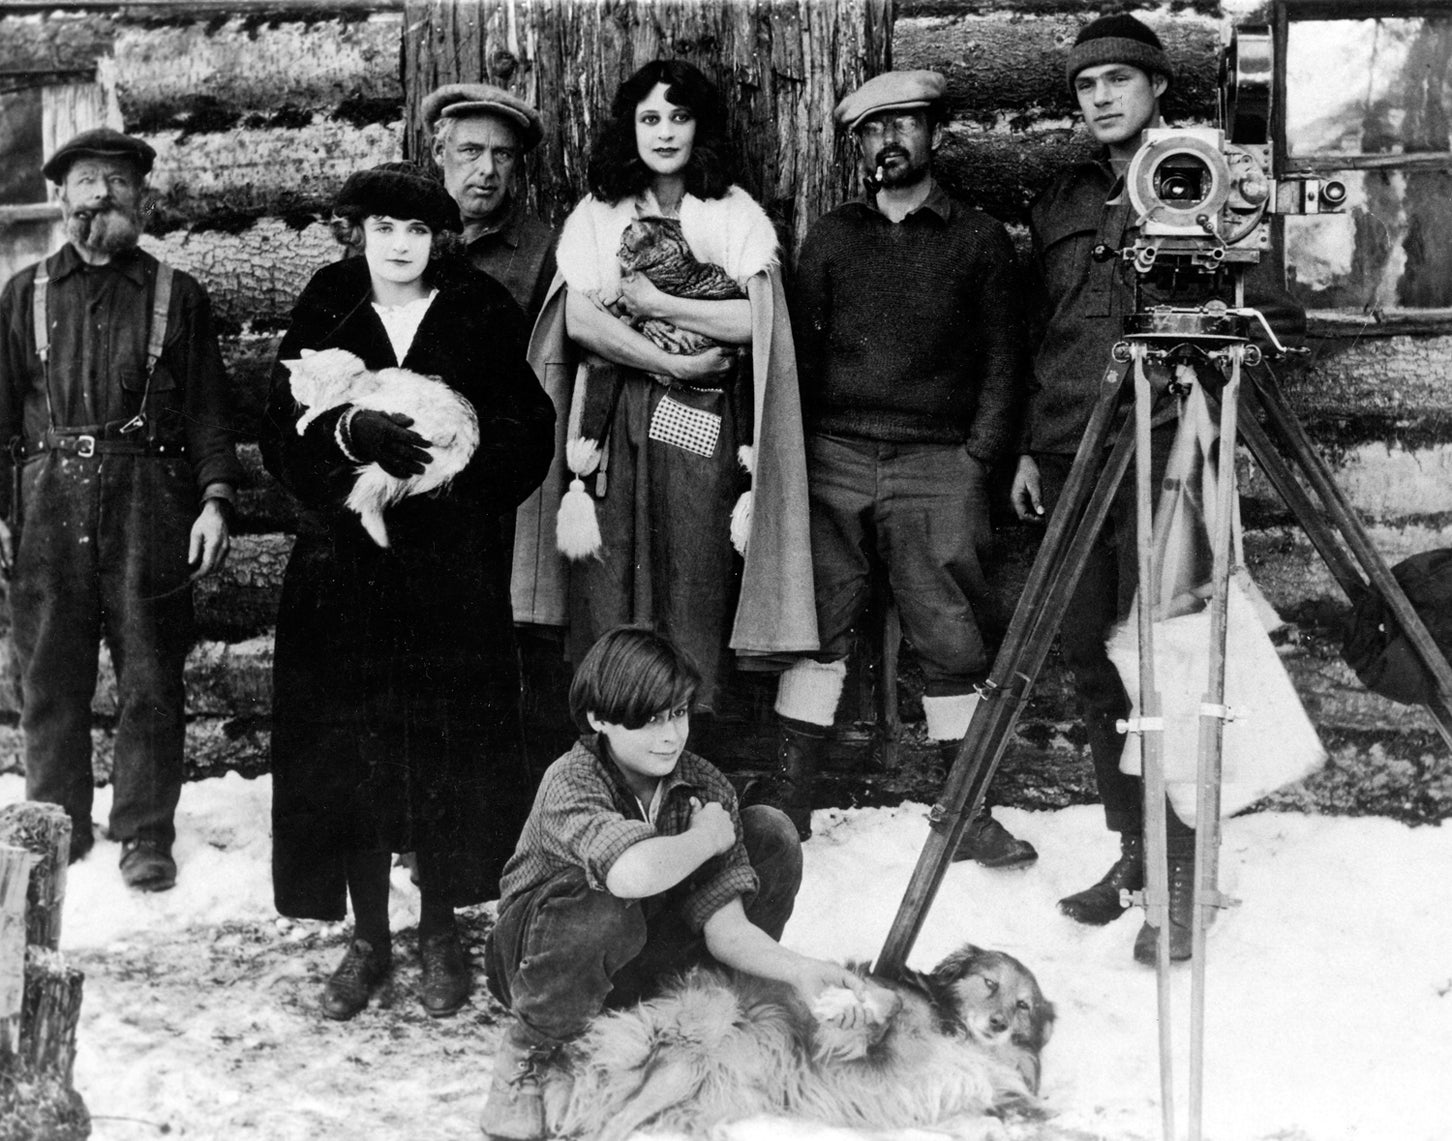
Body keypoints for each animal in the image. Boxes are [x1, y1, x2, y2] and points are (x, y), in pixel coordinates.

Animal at [548, 940, 1051, 1138]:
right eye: (989, 984)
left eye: (1024, 1005)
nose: (998, 1024)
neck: (955, 1028)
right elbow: (880, 1004)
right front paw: (839, 1004)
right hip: (692, 1051)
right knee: (608, 1125)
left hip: (715, 1093)